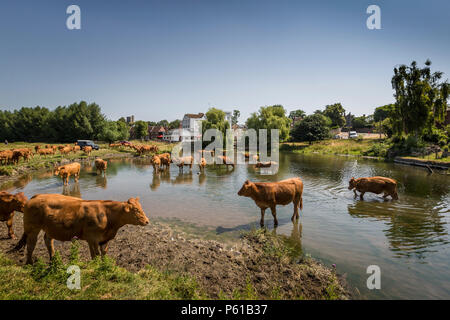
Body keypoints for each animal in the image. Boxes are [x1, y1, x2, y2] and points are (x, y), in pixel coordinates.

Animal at [14, 194, 149, 264]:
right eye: (136, 210)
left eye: (140, 207)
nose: (147, 221)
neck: (107, 214)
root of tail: (35, 197)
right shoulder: (92, 238)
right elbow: (95, 254)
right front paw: (96, 266)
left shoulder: (104, 239)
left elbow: (103, 253)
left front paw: (104, 264)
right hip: (32, 228)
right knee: (31, 244)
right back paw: (30, 263)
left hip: (49, 228)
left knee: (48, 241)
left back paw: (53, 259)